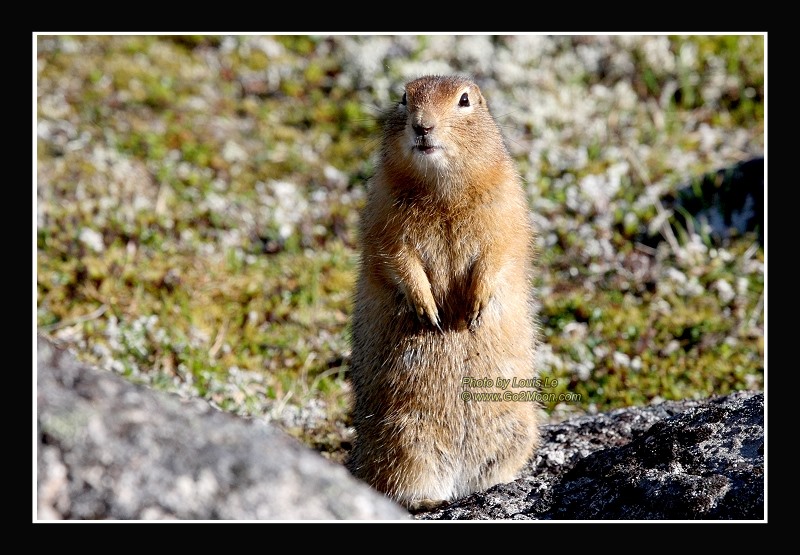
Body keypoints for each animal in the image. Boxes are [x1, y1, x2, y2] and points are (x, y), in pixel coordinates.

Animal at [346, 75, 541, 511]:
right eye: (404, 98)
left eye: (464, 100)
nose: (422, 126)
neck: (442, 191)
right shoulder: (384, 212)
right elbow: (397, 256)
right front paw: (429, 311)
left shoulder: (505, 205)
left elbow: (499, 251)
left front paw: (473, 310)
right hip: (403, 434)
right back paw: (427, 502)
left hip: (515, 427)